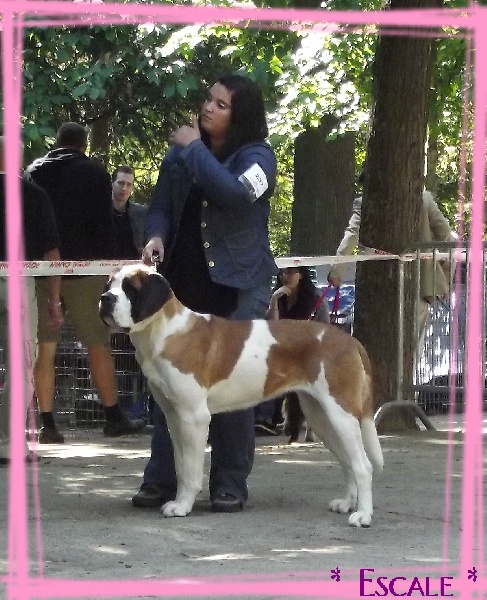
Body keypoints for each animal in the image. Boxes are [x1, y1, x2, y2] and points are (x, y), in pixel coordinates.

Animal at [99, 264, 384, 527]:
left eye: (131, 288)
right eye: (110, 284)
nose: (106, 298)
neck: (164, 330)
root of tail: (349, 340)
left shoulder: (194, 417)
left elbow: (191, 470)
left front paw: (182, 506)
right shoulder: (174, 417)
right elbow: (180, 466)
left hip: (341, 414)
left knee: (363, 466)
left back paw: (363, 515)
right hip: (322, 417)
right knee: (348, 461)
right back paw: (347, 503)